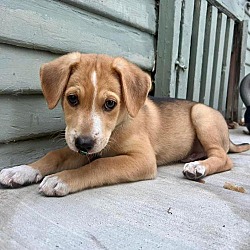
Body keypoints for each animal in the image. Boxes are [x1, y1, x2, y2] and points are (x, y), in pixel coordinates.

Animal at [0, 53, 249, 197]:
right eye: (72, 99)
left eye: (110, 104)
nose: (83, 143)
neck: (117, 128)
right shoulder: (85, 148)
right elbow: (55, 155)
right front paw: (21, 170)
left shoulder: (142, 159)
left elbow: (100, 165)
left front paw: (62, 178)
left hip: (201, 114)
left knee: (223, 158)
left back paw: (198, 166)